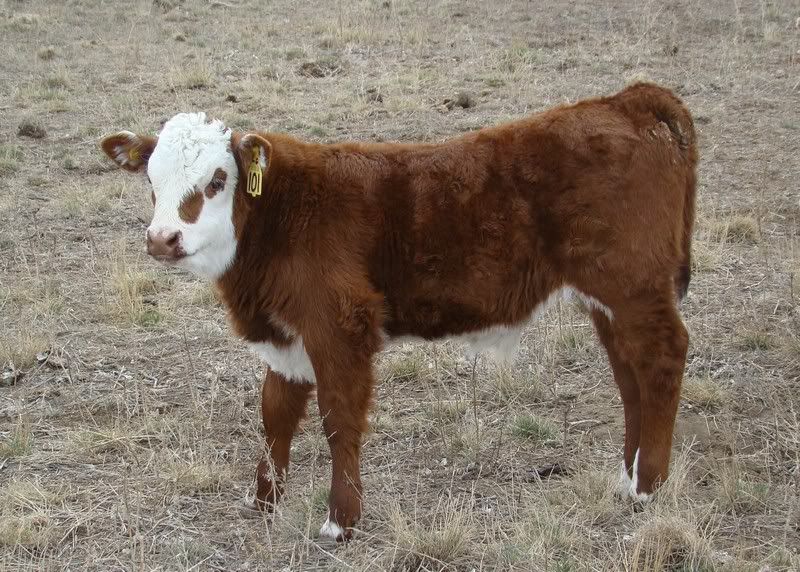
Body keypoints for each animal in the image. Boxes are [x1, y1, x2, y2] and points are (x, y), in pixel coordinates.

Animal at [100, 82, 697, 541]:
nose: (163, 239)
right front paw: (265, 500)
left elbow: (337, 418)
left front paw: (341, 521)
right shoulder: (285, 335)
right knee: (629, 376)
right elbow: (275, 414)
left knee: (662, 360)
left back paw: (649, 487)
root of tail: (625, 100)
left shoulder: (340, 326)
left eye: (217, 181)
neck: (281, 215)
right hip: (609, 299)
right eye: (151, 180)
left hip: (633, 285)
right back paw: (628, 475)